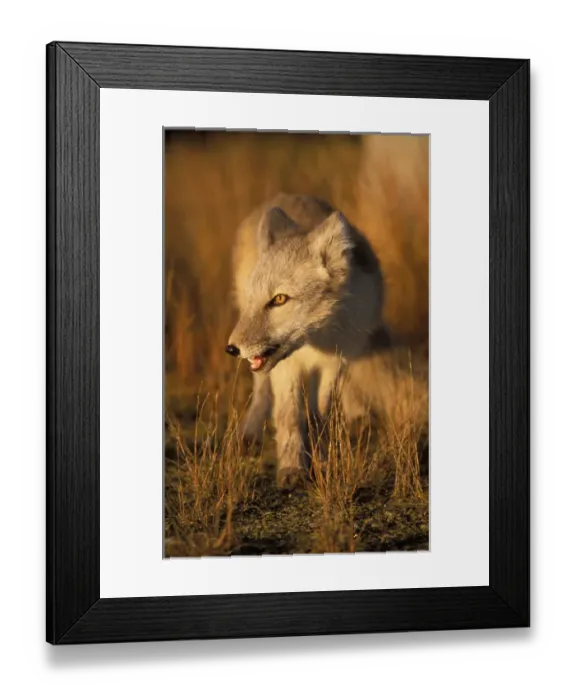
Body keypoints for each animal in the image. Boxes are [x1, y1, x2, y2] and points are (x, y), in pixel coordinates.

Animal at [226, 193, 391, 489]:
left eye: (279, 299)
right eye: (253, 299)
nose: (231, 348)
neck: (315, 340)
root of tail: (283, 195)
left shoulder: (335, 361)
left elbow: (320, 415)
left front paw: (322, 460)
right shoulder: (285, 367)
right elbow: (289, 416)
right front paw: (292, 468)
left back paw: (356, 415)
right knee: (261, 392)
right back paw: (250, 433)